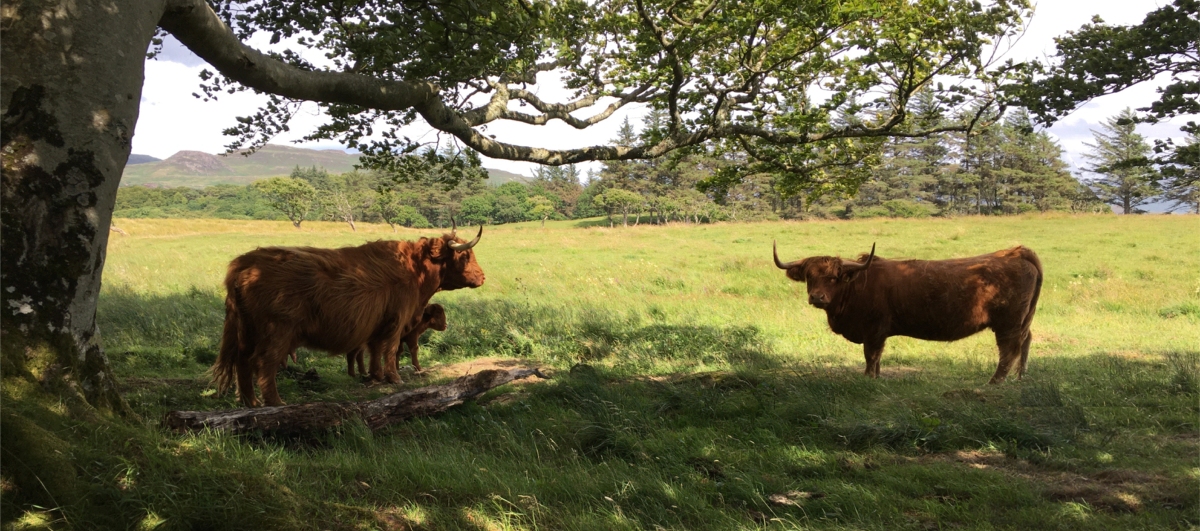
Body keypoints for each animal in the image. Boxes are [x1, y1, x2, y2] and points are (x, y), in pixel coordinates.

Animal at [216, 224, 482, 406]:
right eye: (465, 255)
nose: (482, 277)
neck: (416, 272)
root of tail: (245, 262)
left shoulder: (378, 324)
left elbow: (375, 350)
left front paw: (376, 376)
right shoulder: (397, 319)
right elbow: (390, 349)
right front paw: (394, 378)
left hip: (246, 332)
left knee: (242, 362)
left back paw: (250, 402)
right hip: (277, 331)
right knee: (263, 363)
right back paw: (275, 402)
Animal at [772, 242, 1046, 384]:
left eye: (833, 277)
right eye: (809, 276)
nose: (817, 297)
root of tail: (1015, 252)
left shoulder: (874, 331)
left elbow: (871, 357)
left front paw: (868, 379)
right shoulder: (879, 333)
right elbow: (878, 358)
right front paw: (876, 377)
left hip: (1008, 324)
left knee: (1008, 352)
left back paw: (993, 384)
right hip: (1023, 321)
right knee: (1026, 342)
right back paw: (1020, 378)